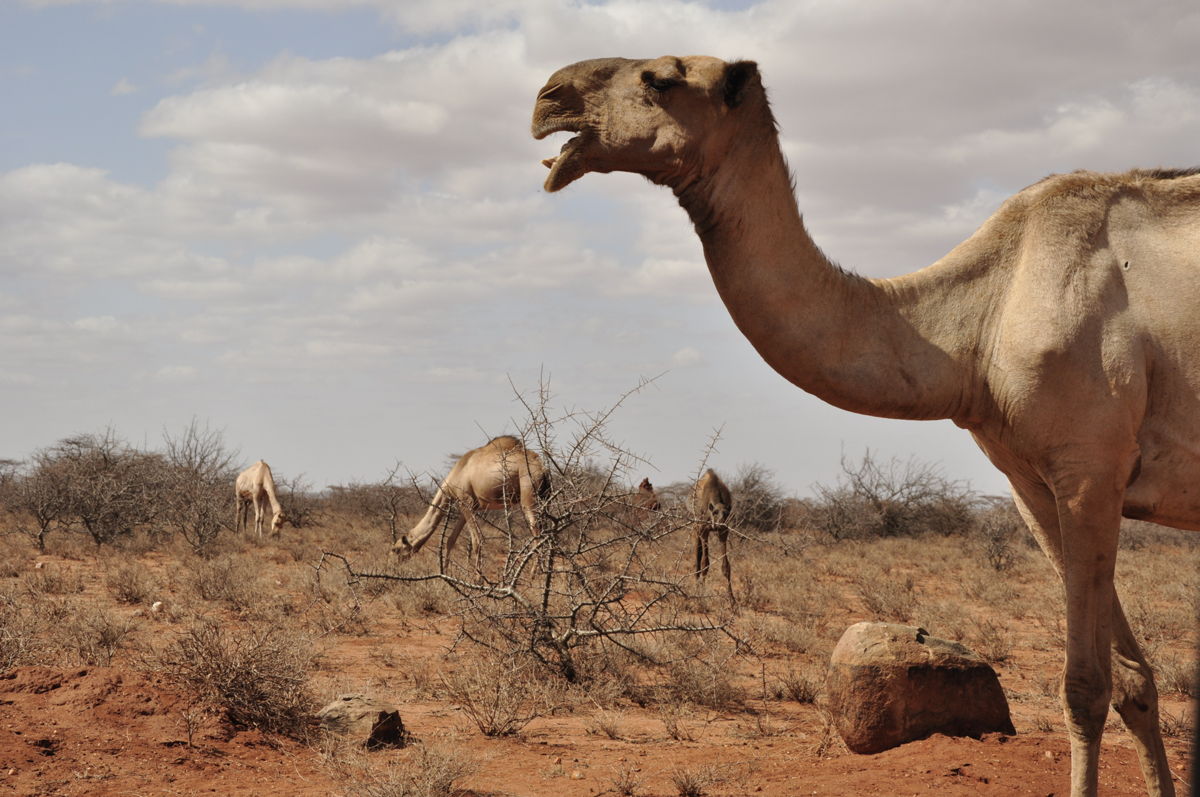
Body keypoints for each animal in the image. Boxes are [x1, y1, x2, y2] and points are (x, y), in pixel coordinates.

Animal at [388, 436, 549, 566]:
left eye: (396, 549)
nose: (392, 564)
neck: (454, 476)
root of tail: (543, 469)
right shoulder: (469, 506)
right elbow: (451, 540)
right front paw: (445, 572)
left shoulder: (466, 501)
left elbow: (477, 539)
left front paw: (477, 579)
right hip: (544, 498)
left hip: (528, 494)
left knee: (537, 534)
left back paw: (534, 576)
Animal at [537, 56, 1200, 797]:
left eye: (660, 78)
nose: (547, 100)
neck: (979, 321)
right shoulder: (1034, 481)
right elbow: (1135, 680)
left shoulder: (1090, 467)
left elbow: (1085, 686)